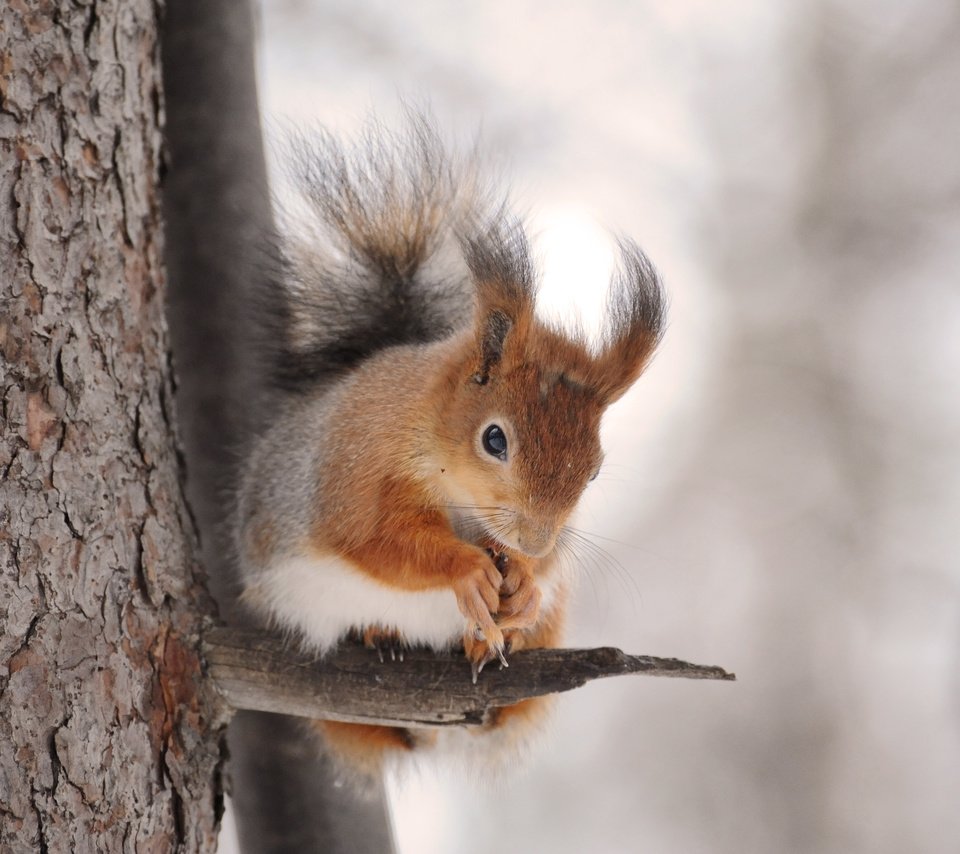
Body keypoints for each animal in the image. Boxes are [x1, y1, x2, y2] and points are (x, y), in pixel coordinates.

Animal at [236, 117, 664, 780]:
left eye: (595, 472)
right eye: (494, 439)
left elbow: (545, 570)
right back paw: (382, 636)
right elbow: (380, 544)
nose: (534, 539)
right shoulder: (354, 474)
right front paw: (467, 569)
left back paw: (490, 640)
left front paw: (527, 582)